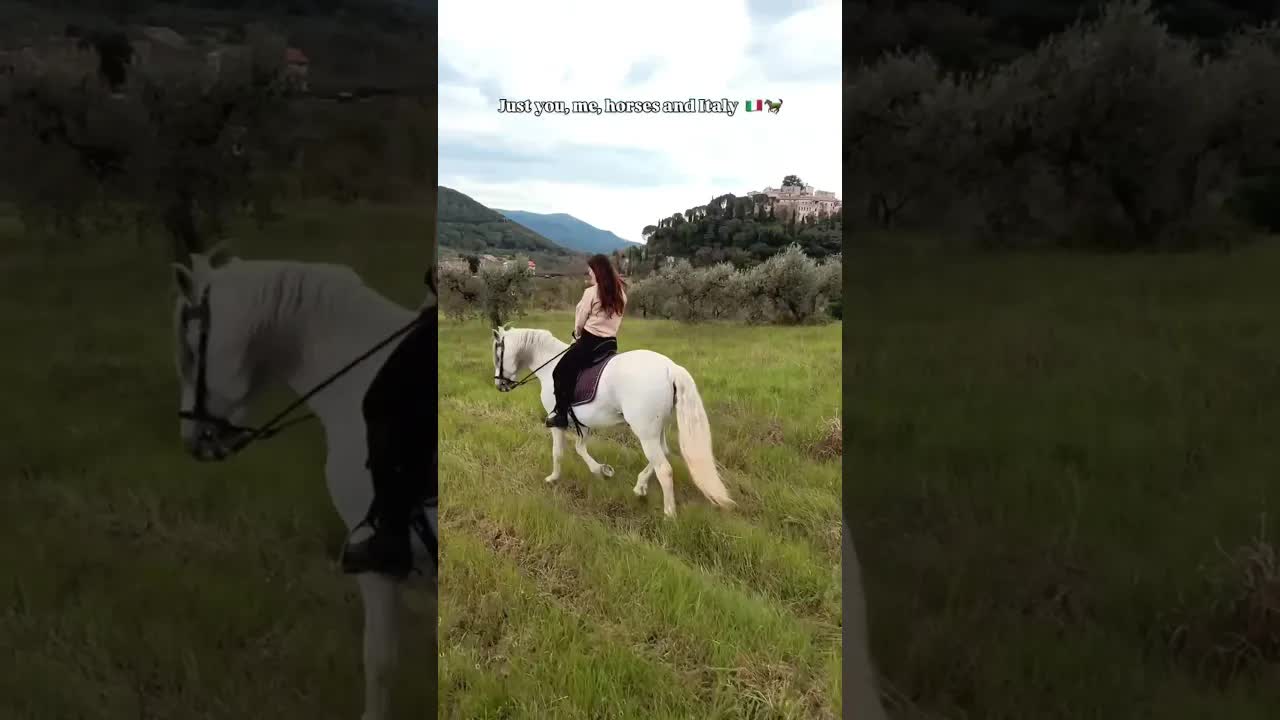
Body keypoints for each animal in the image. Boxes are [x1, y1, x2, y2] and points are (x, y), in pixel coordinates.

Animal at [491, 325, 734, 516]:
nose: (500, 385)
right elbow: (580, 448)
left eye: (497, 354)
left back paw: (669, 515)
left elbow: (558, 452)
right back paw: (640, 487)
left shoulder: (558, 422)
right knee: (662, 454)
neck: (549, 366)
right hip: (657, 428)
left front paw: (553, 478)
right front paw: (603, 471)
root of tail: (670, 368)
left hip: (645, 431)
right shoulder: (583, 423)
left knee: (664, 468)